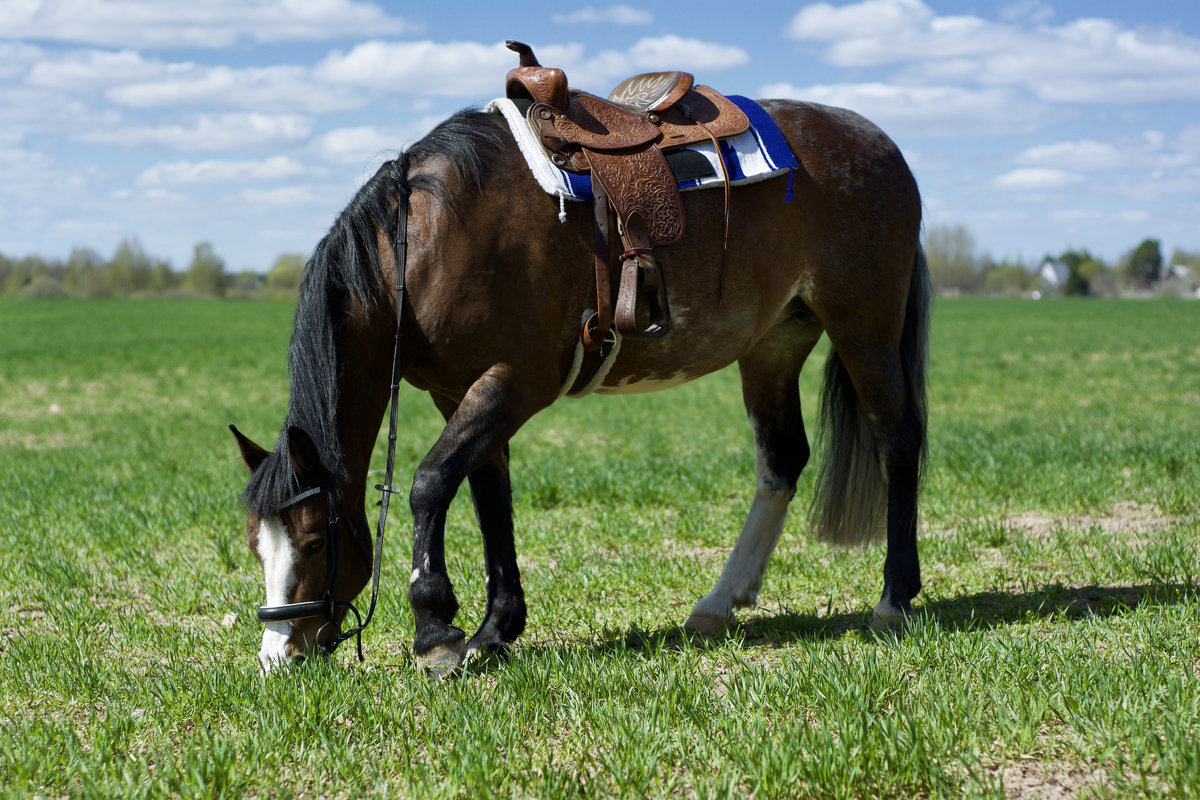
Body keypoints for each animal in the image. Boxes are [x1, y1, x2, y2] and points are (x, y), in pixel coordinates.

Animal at [229, 95, 931, 676]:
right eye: (257, 548)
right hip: (774, 344)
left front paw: (436, 631)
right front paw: (495, 629)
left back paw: (894, 599)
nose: (276, 655)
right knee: (782, 460)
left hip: (865, 329)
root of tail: (880, 145)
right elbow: (489, 499)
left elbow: (431, 485)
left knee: (898, 444)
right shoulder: (463, 394)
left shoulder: (514, 383)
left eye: (315, 541)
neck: (426, 244)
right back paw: (719, 602)